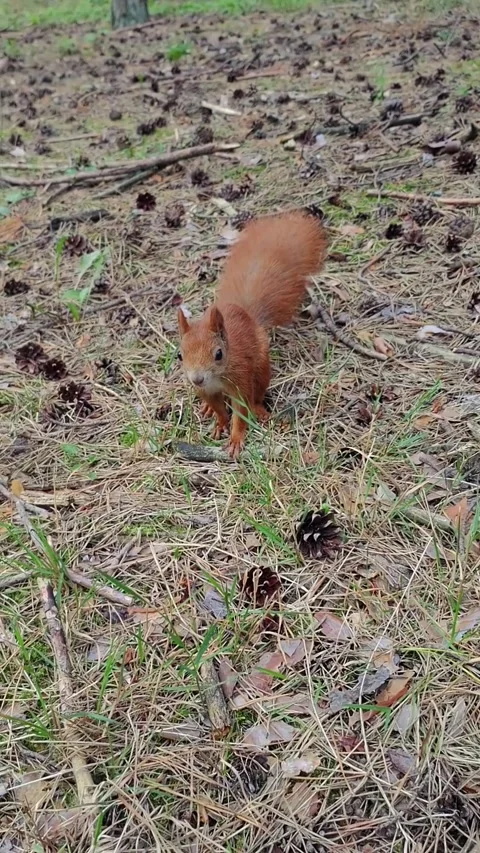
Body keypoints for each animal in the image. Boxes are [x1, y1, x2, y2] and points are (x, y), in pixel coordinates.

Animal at [177, 209, 328, 458]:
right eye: (179, 355)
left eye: (218, 354)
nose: (197, 379)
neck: (217, 378)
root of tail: (246, 313)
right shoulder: (206, 391)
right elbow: (220, 409)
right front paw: (220, 423)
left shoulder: (241, 380)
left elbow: (241, 411)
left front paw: (236, 439)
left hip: (261, 367)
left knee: (257, 394)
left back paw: (260, 410)